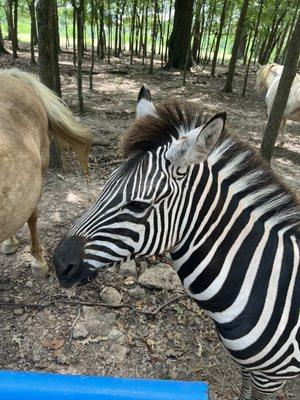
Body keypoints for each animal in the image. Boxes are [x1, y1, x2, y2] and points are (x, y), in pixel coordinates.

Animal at [54, 86, 300, 398]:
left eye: (137, 205)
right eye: (104, 186)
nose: (59, 263)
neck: (264, 281)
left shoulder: (273, 376)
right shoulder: (248, 367)